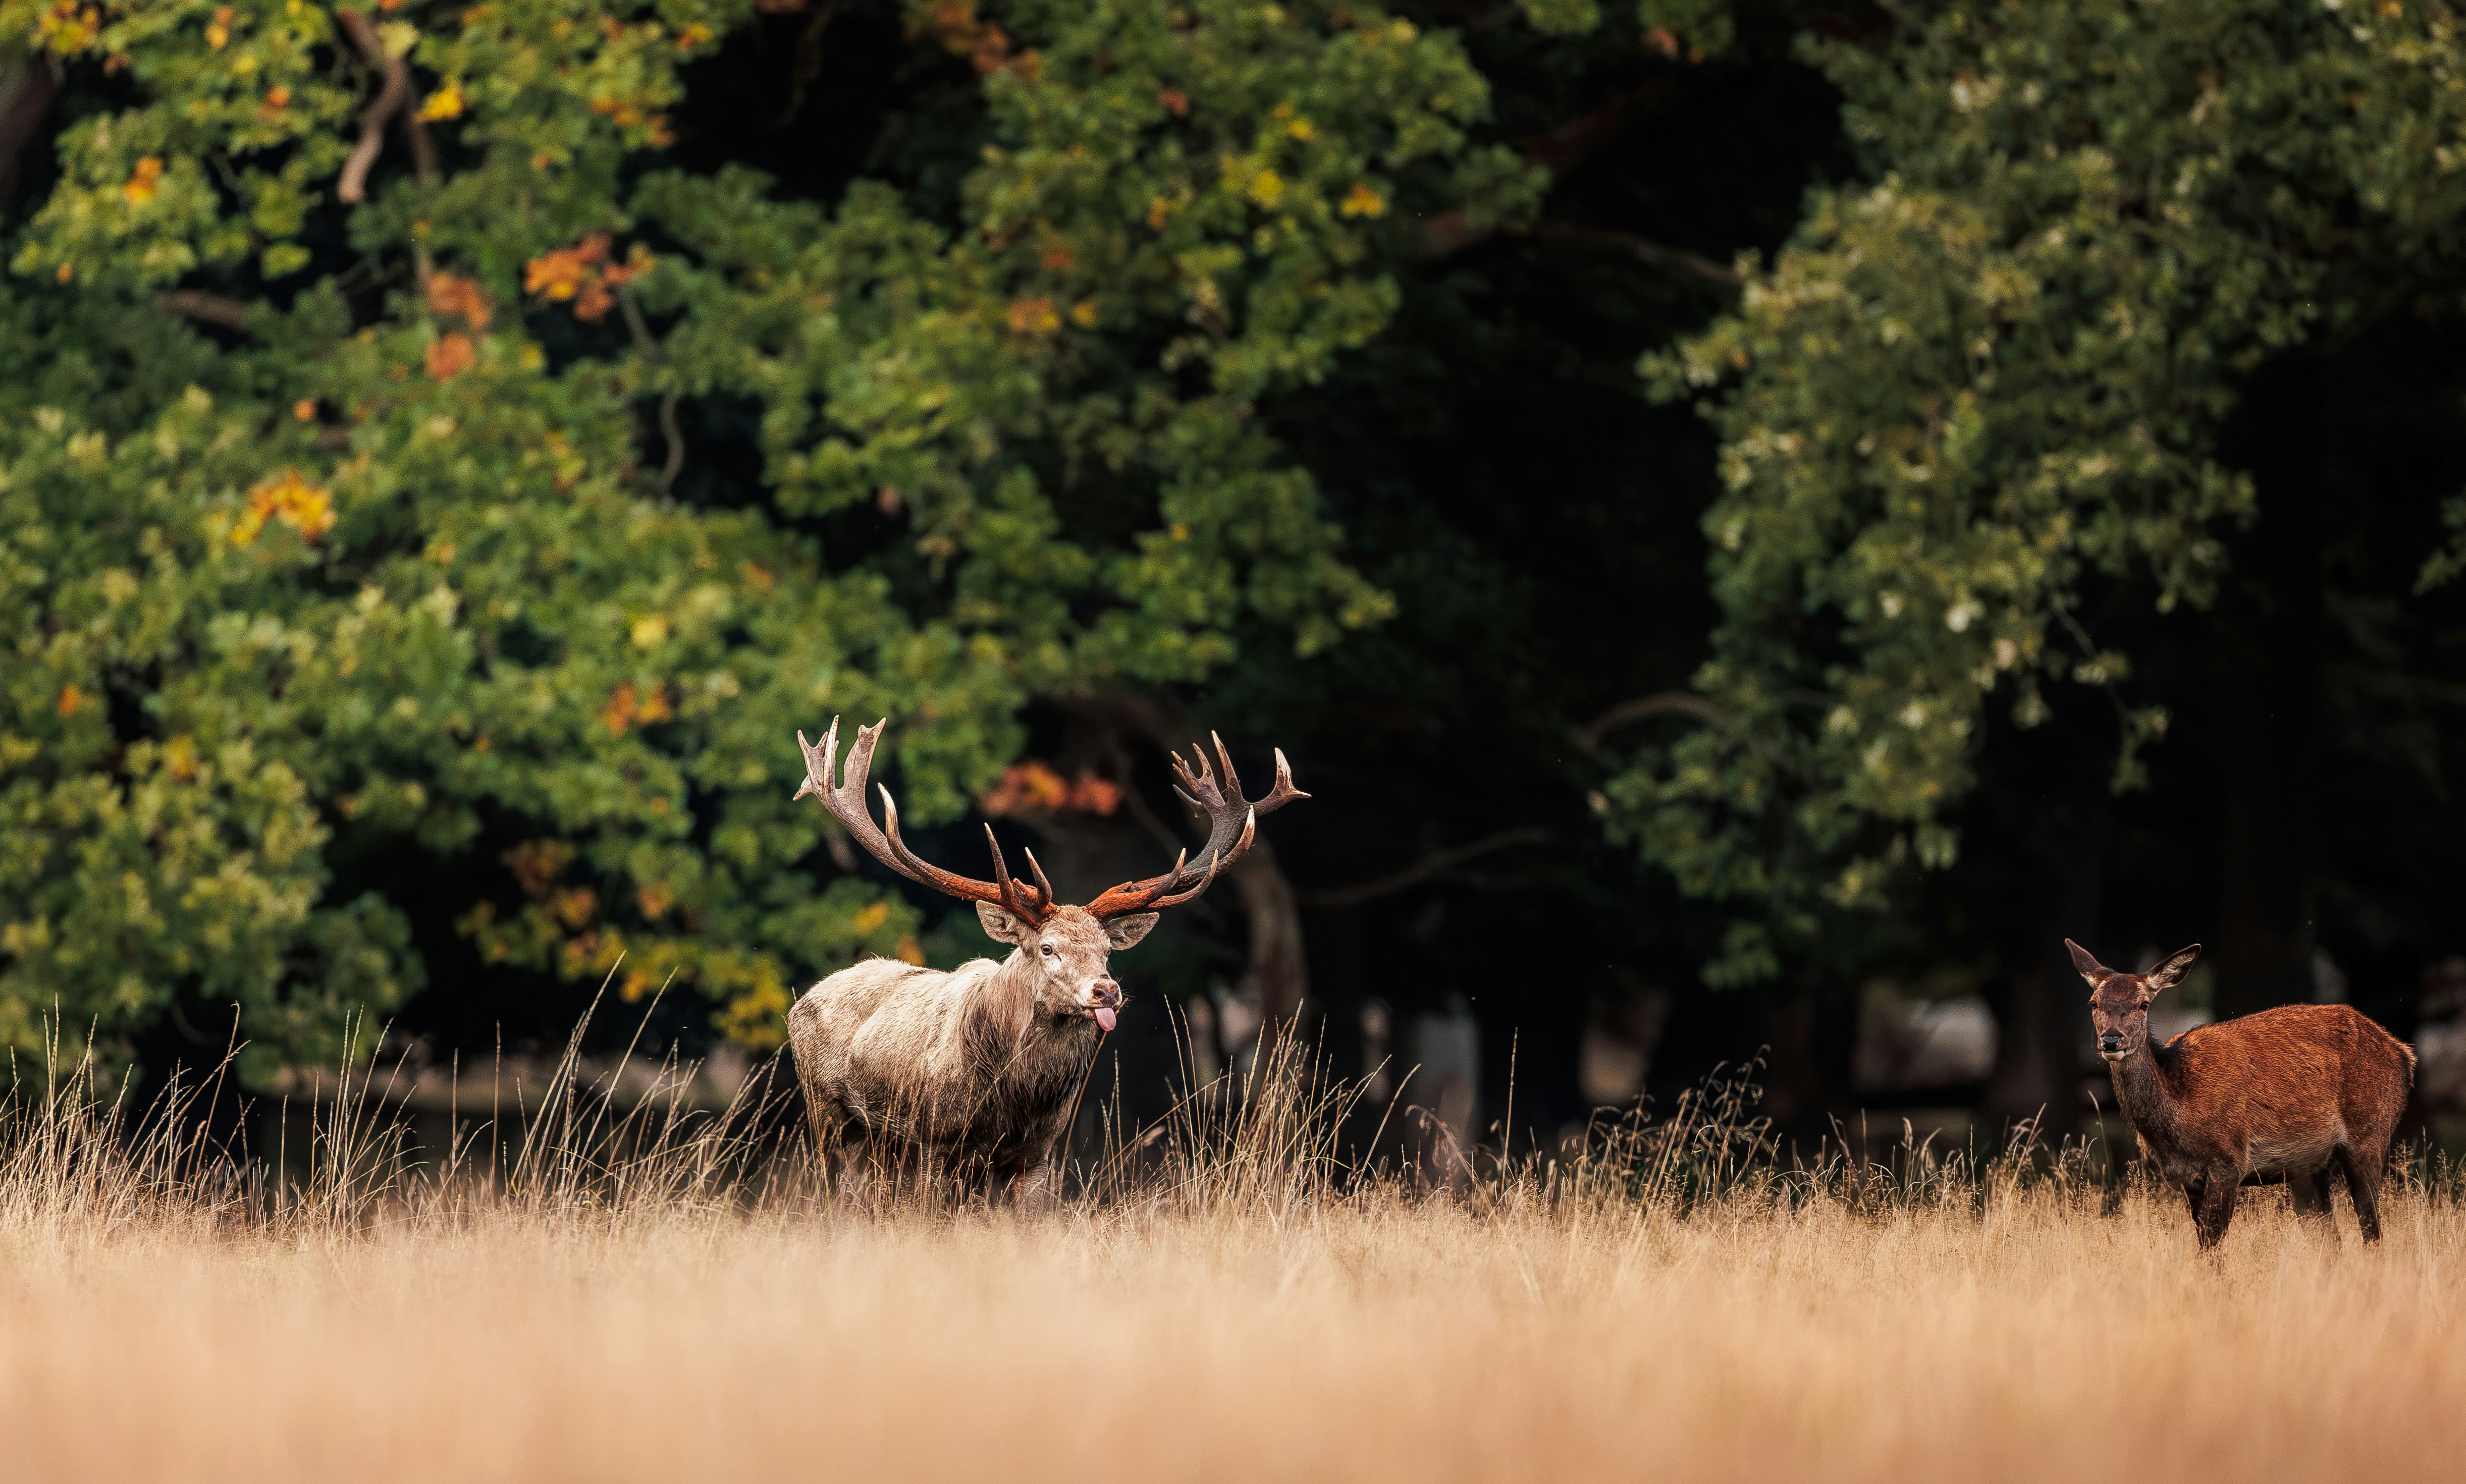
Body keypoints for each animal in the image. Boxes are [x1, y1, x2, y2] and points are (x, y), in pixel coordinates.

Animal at [786, 716, 1306, 1207]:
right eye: (1047, 948)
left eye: (1107, 950)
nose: (1106, 990)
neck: (1013, 1099)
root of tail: (804, 999)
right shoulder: (936, 1138)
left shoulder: (1038, 1152)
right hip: (829, 1116)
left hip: (881, 1144)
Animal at [2070, 939, 2415, 1248]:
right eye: (2094, 1003)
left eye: (2144, 1004)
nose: (2111, 1040)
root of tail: (2404, 1056)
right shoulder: (2186, 1176)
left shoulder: (2230, 1158)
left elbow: (2212, 1242)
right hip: (2309, 1167)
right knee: (2332, 1241)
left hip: (2369, 1134)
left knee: (2372, 1230)